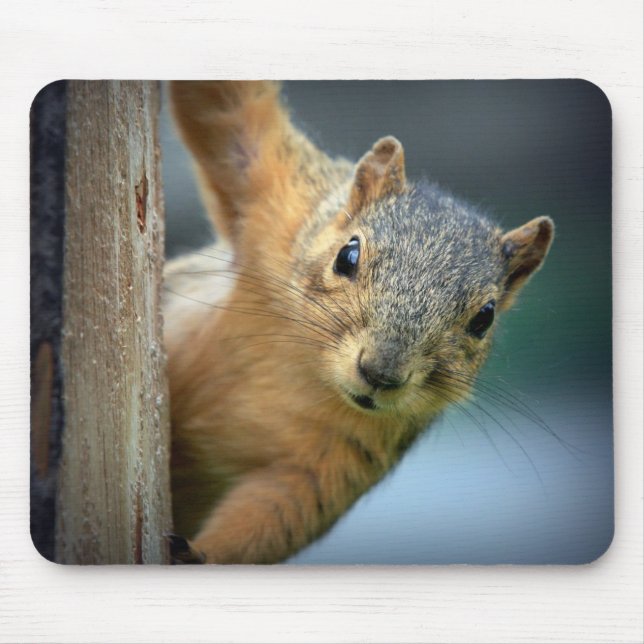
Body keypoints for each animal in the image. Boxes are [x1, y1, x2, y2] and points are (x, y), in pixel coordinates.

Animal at [162, 81, 554, 564]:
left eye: (484, 318)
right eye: (347, 255)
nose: (380, 374)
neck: (311, 371)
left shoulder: (345, 457)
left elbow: (280, 511)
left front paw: (197, 555)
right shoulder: (284, 200)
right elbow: (228, 114)